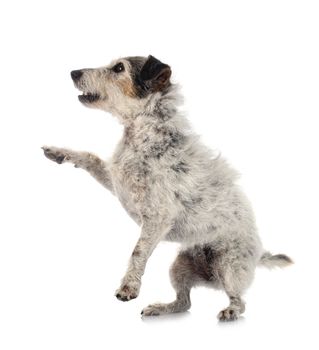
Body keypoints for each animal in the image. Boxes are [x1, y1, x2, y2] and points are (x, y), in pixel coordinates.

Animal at [42, 56, 292, 322]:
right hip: (180, 266)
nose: (73, 72)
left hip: (229, 266)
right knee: (184, 302)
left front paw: (129, 287)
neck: (143, 134)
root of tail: (259, 253)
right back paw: (160, 308)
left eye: (119, 68)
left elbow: (138, 252)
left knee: (239, 300)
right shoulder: (117, 182)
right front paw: (58, 152)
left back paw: (230, 311)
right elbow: (90, 158)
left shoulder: (157, 218)